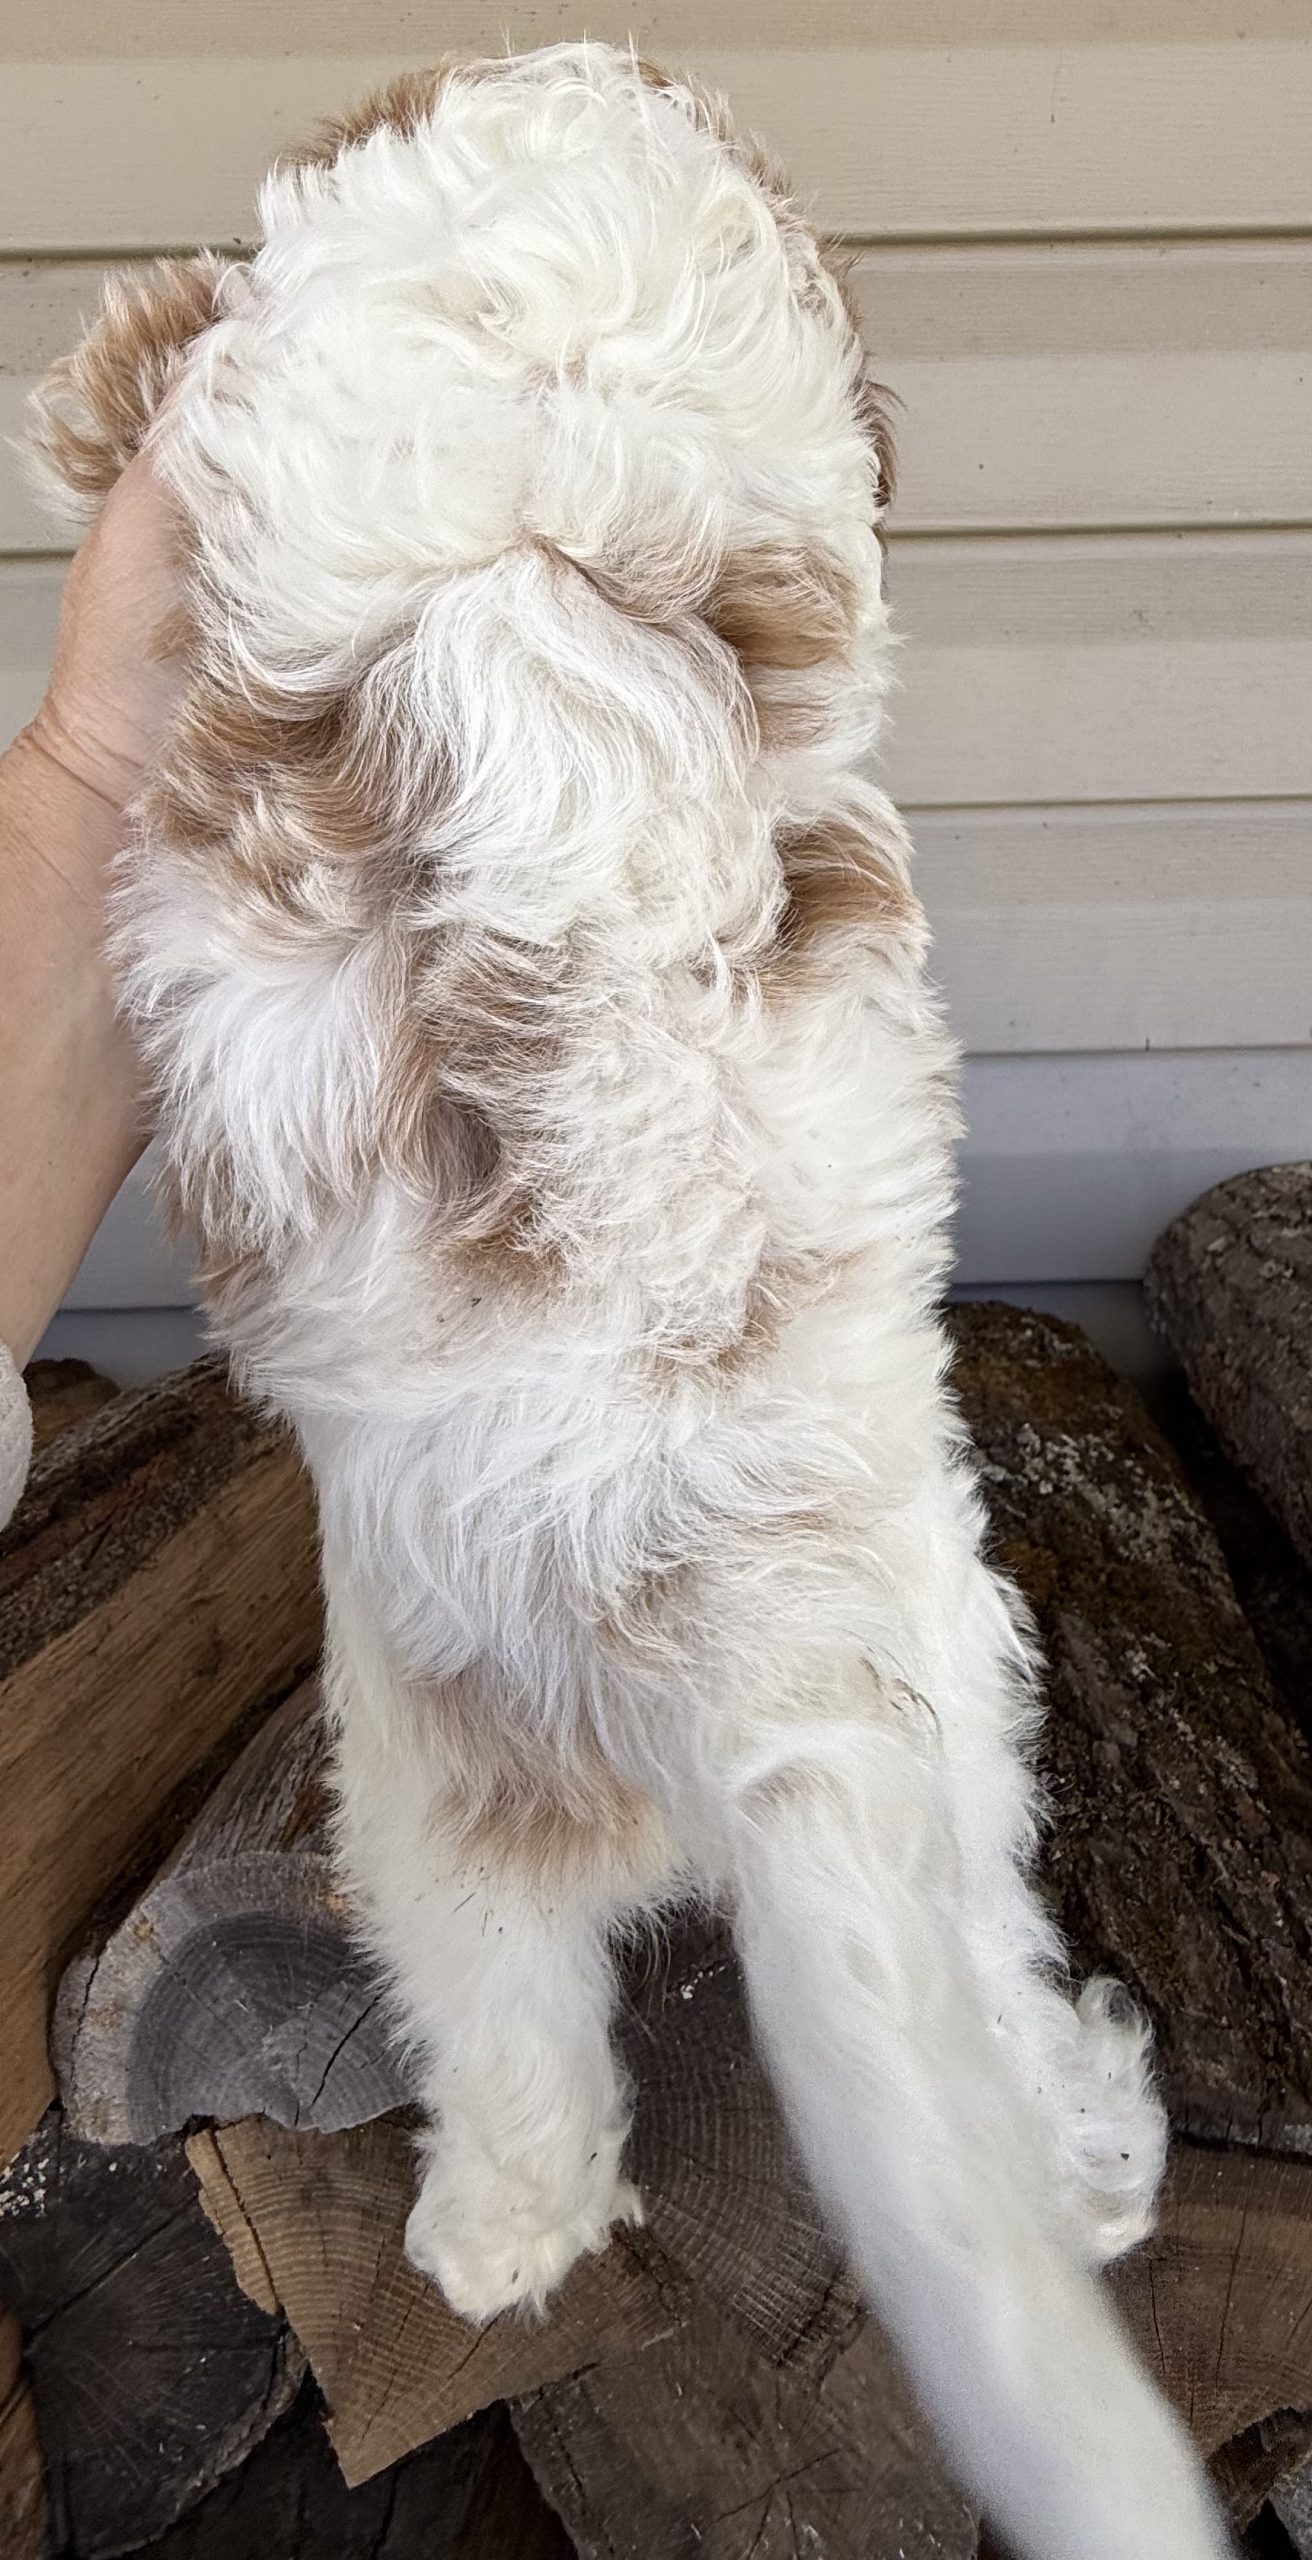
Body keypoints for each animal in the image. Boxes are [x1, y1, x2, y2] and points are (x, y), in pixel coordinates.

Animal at [30, 45, 1229, 2559]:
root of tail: (737, 1640)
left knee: (548, 2036)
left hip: (460, 1777)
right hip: (874, 1732)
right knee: (909, 1998)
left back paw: (518, 2224)